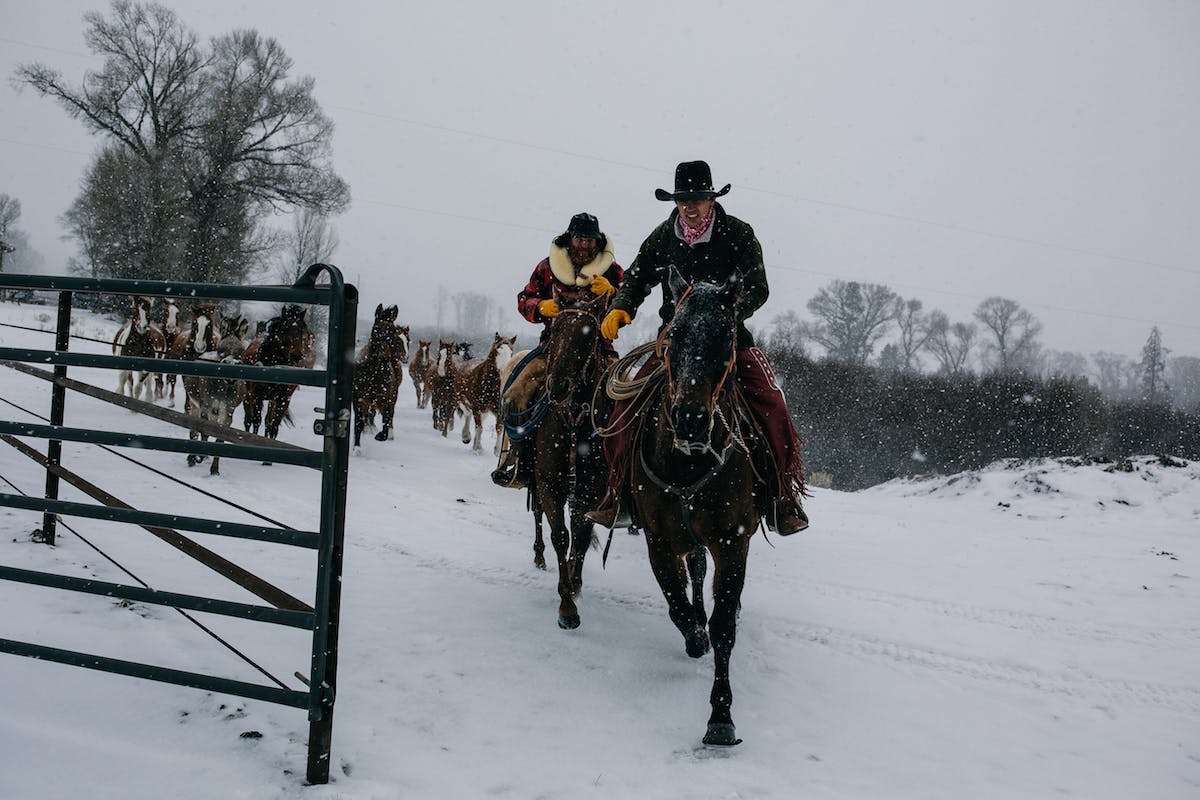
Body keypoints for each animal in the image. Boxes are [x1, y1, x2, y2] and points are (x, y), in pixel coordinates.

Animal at [238, 304, 312, 443]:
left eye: (302, 331)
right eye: (285, 329)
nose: (296, 356)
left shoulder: (283, 400)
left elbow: (273, 426)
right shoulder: (257, 396)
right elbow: (256, 421)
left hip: (271, 401)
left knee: (267, 421)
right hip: (247, 394)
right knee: (248, 420)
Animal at [352, 303, 405, 448]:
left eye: (392, 331)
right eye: (375, 329)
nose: (384, 358)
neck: (373, 374)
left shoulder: (385, 399)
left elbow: (386, 419)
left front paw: (381, 436)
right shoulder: (359, 399)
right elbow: (358, 423)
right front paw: (356, 447)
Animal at [628, 273, 758, 743]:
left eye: (726, 335)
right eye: (674, 334)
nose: (690, 418)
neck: (689, 460)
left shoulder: (732, 542)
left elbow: (723, 626)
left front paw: (721, 715)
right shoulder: (659, 540)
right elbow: (677, 603)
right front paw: (694, 637)